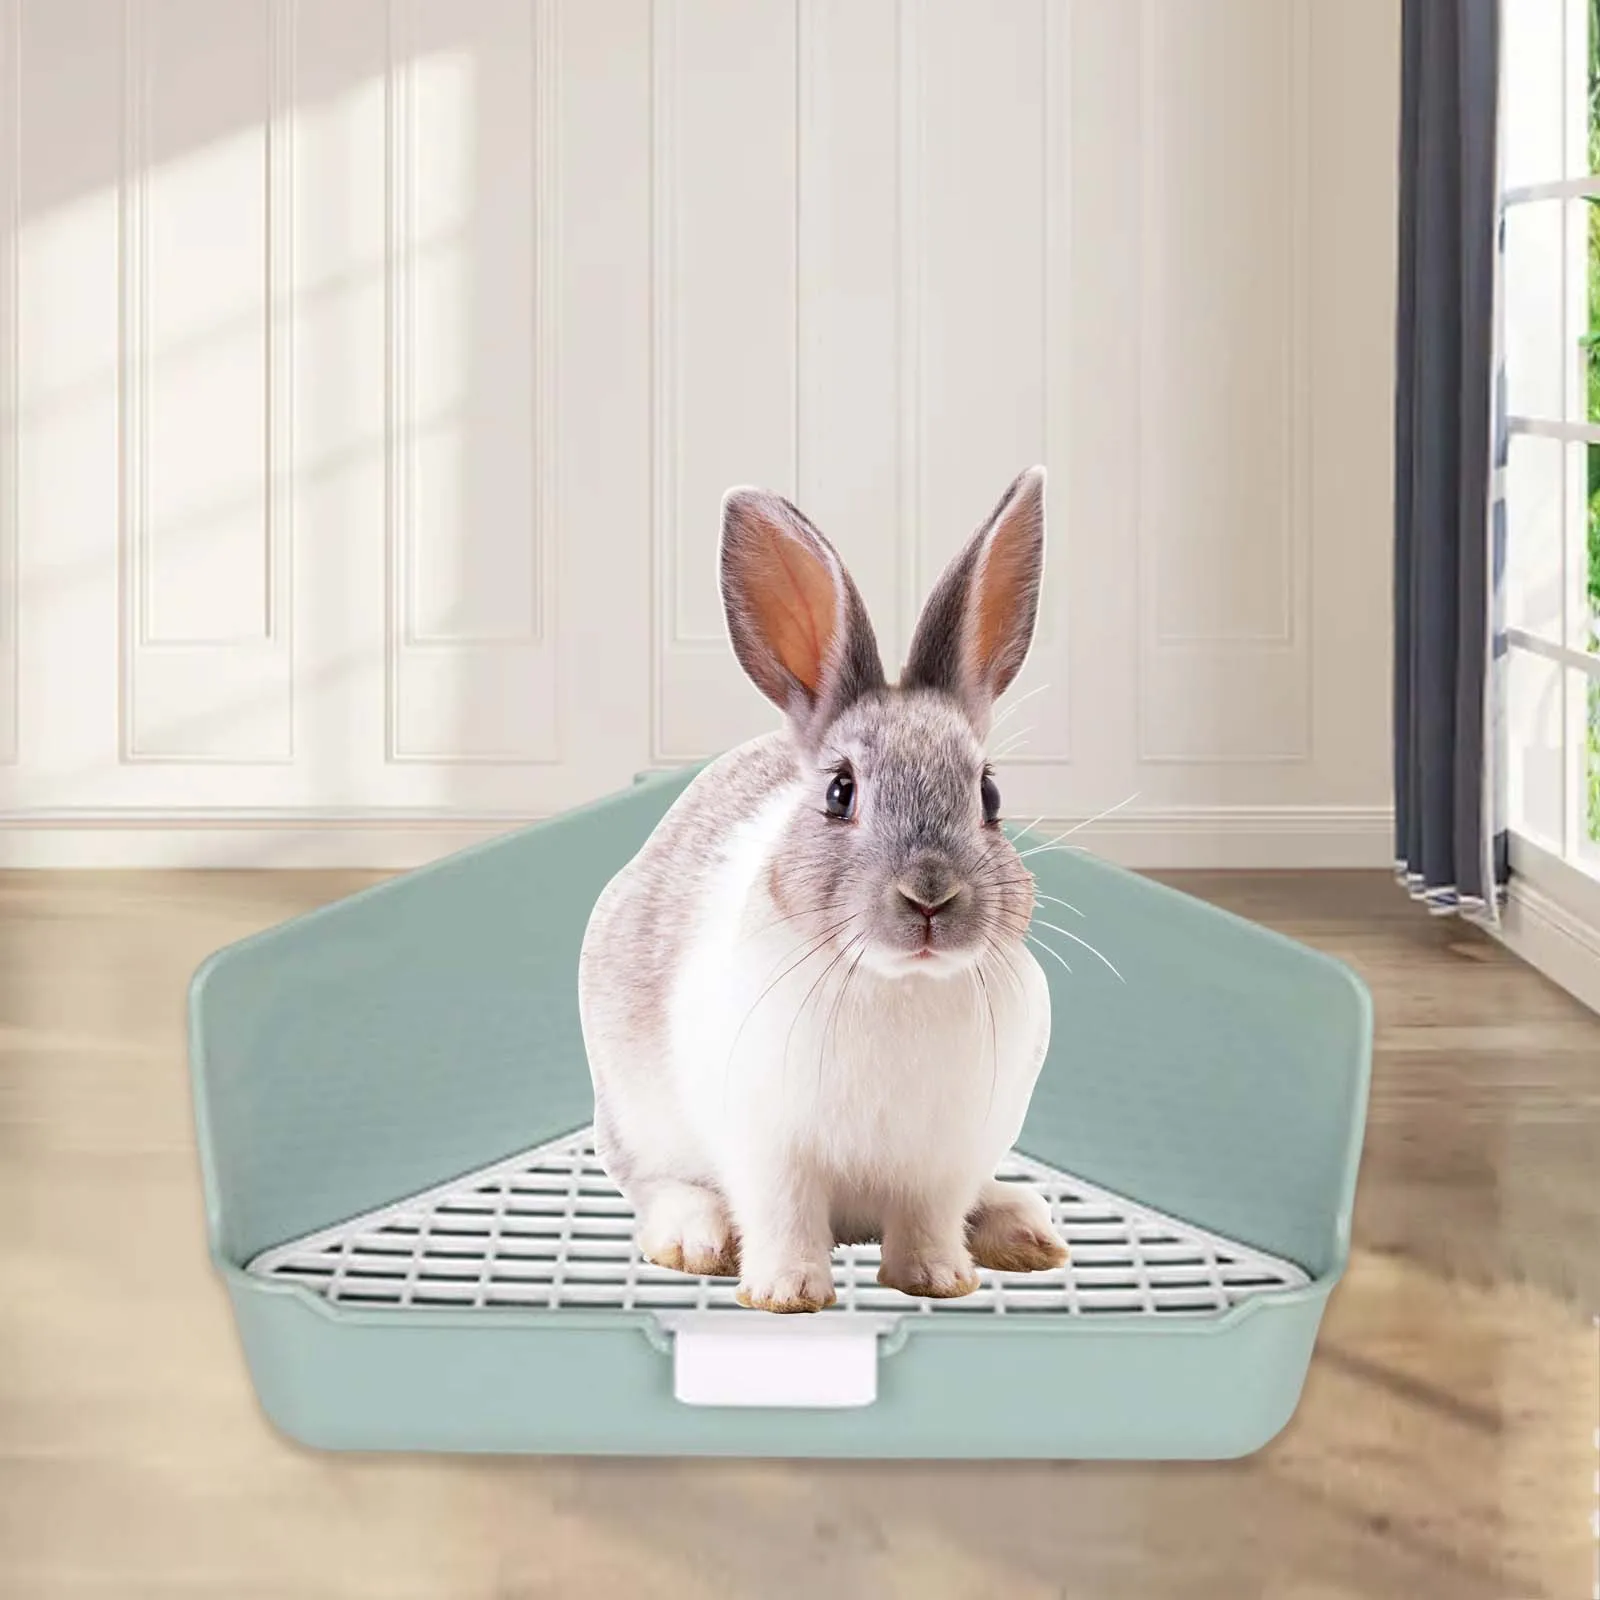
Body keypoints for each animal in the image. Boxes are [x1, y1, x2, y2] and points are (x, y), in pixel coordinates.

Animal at [578, 466, 1066, 1313]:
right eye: (840, 793)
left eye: (990, 795)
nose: (929, 896)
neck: (899, 984)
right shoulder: (770, 1150)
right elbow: (784, 1216)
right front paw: (786, 1294)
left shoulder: (943, 1161)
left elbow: (929, 1220)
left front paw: (939, 1280)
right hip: (637, 1117)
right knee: (658, 1184)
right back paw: (694, 1237)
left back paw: (1022, 1229)